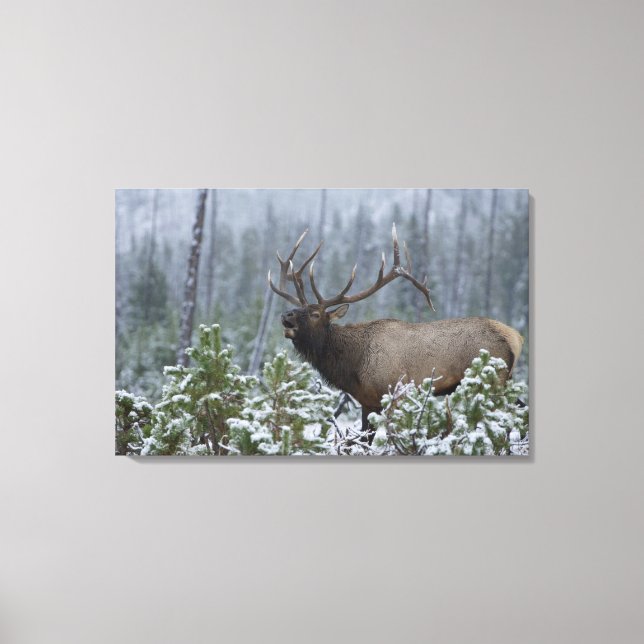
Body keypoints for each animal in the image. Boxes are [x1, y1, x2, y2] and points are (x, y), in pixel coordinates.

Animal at [268, 224, 524, 442]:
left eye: (315, 314)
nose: (285, 315)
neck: (353, 365)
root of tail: (515, 337)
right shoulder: (367, 401)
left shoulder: (395, 395)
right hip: (505, 381)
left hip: (493, 380)